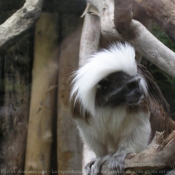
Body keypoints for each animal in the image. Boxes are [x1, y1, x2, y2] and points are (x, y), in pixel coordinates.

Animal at [69, 42, 175, 175]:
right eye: (130, 85)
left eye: (137, 83)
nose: (139, 92)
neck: (111, 103)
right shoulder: (80, 107)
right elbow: (91, 134)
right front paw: (101, 157)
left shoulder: (141, 103)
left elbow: (138, 128)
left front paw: (121, 153)